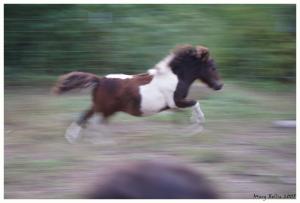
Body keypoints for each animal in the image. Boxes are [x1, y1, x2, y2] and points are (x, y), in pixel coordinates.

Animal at [53, 44, 223, 143]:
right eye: (212, 67)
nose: (219, 86)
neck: (175, 77)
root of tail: (100, 80)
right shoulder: (176, 102)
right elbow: (195, 104)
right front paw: (196, 127)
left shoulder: (175, 106)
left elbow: (184, 114)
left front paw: (188, 130)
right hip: (105, 108)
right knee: (95, 120)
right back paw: (100, 141)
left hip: (101, 107)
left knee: (85, 116)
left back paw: (72, 138)